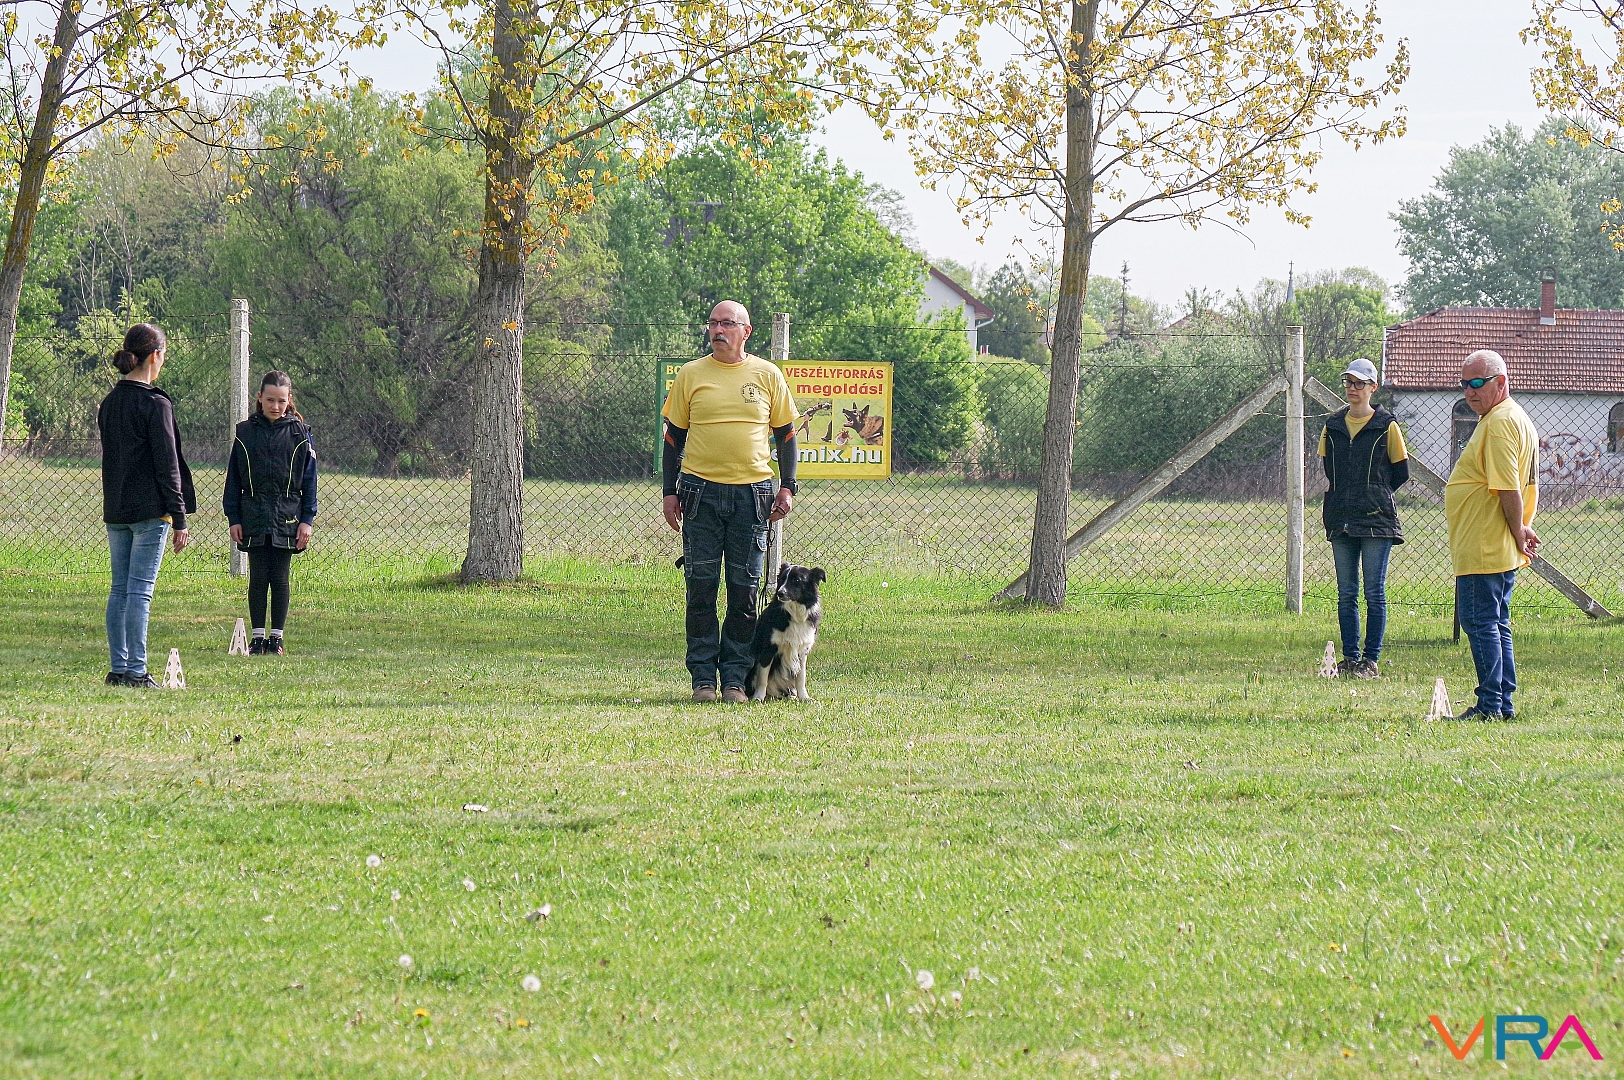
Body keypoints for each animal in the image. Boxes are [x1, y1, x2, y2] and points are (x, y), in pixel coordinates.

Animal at [747, 563, 825, 701]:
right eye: (782, 579)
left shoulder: (802, 651)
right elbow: (763, 677)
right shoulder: (768, 648)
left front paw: (804, 697)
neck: (795, 615)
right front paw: (758, 697)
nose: (780, 593)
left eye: (797, 580)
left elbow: (801, 677)